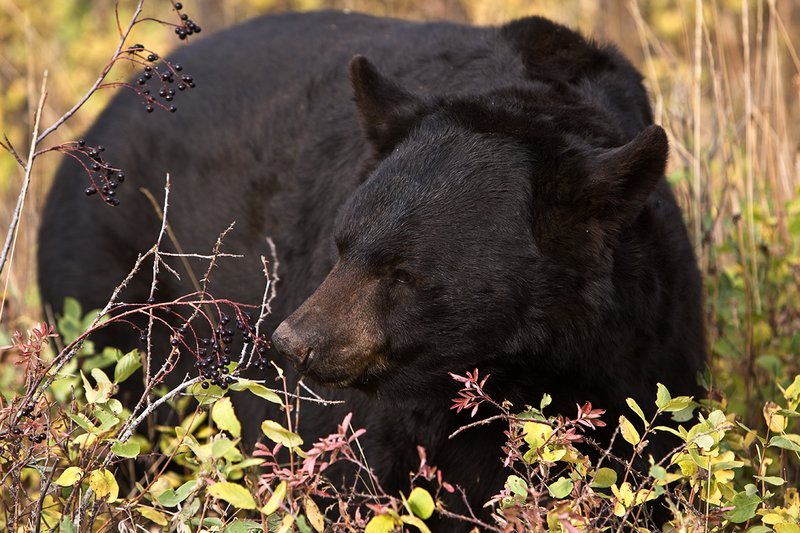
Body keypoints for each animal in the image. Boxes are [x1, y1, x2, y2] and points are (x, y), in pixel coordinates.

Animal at [38, 10, 705, 526]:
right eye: (342, 244)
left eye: (405, 272)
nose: (291, 342)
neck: (523, 362)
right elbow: (351, 477)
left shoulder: (644, 346)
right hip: (110, 288)